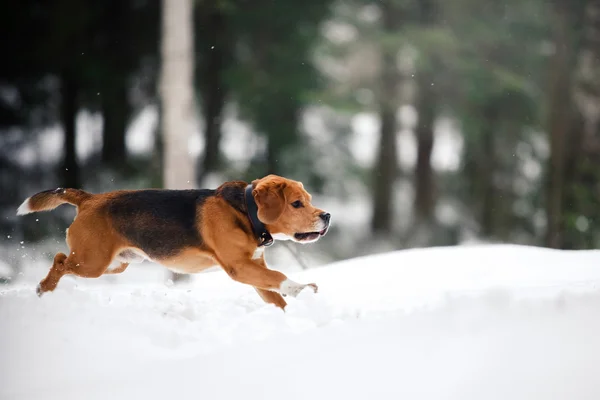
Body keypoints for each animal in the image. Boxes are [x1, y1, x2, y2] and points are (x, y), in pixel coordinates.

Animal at [16, 175, 330, 310]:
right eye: (297, 204)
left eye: (310, 200)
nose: (326, 216)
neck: (245, 211)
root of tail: (89, 199)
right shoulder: (240, 267)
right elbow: (279, 277)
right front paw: (303, 288)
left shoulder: (253, 269)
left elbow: (274, 292)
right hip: (92, 262)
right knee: (59, 260)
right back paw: (44, 289)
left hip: (115, 264)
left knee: (63, 260)